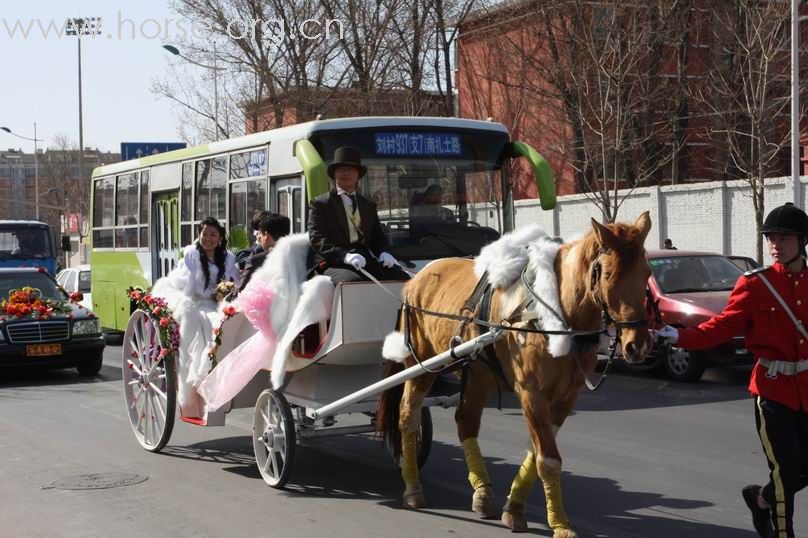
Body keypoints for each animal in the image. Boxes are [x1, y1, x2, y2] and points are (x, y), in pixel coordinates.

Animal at [378, 211, 652, 532]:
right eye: (608, 275)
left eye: (646, 273)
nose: (637, 345)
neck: (553, 312)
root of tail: (416, 280)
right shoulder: (531, 393)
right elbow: (548, 459)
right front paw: (559, 524)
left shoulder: (566, 398)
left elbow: (537, 452)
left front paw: (515, 507)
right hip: (420, 367)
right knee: (407, 418)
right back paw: (412, 487)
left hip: (478, 375)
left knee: (466, 422)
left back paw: (482, 492)